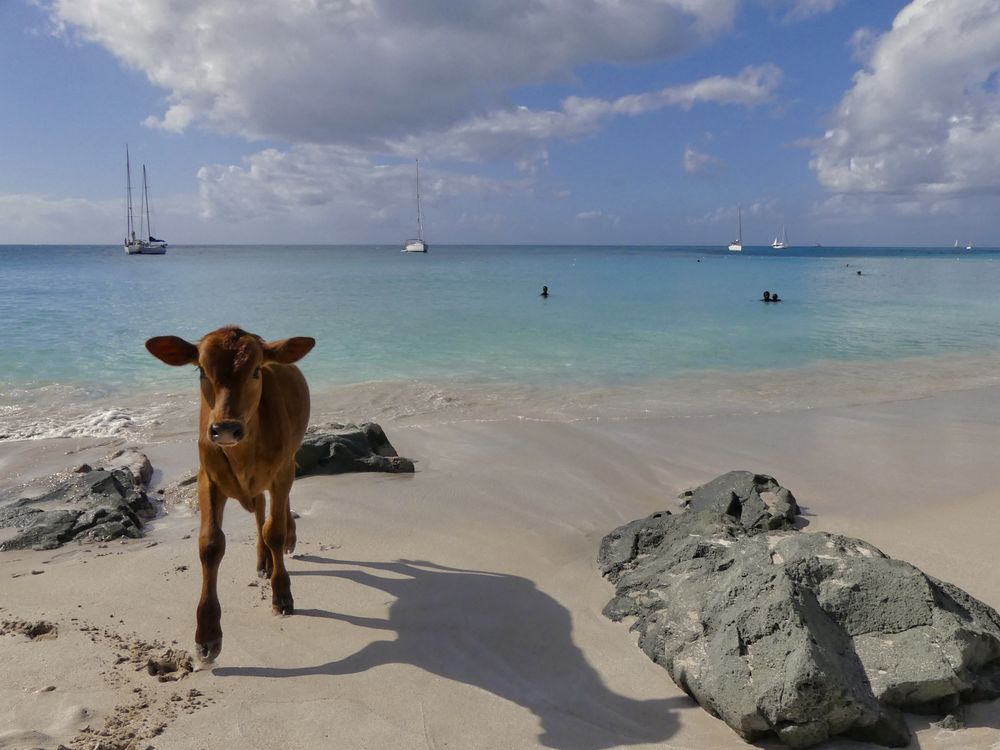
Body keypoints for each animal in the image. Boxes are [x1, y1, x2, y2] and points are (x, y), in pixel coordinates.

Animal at [146, 326, 312, 660]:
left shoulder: (282, 470)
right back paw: (263, 562)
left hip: (290, 461)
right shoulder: (207, 477)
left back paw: (286, 542)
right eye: (201, 370)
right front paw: (207, 633)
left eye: (256, 370)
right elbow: (211, 545)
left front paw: (282, 594)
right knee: (259, 510)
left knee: (276, 511)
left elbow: (274, 530)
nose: (224, 429)